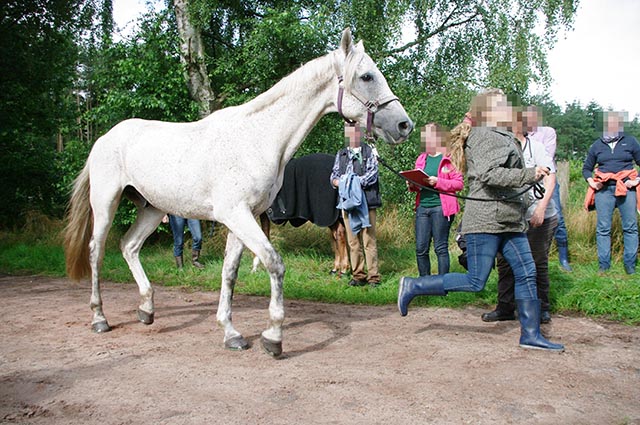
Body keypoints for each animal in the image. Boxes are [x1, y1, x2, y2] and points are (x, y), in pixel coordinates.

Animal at [65, 28, 412, 356]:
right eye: (366, 76)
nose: (404, 125)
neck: (258, 138)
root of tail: (104, 138)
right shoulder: (237, 214)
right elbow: (273, 263)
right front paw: (273, 337)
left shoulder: (241, 218)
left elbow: (229, 272)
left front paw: (230, 333)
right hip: (106, 204)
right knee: (96, 251)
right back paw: (99, 317)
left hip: (152, 208)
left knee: (129, 246)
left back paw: (147, 309)